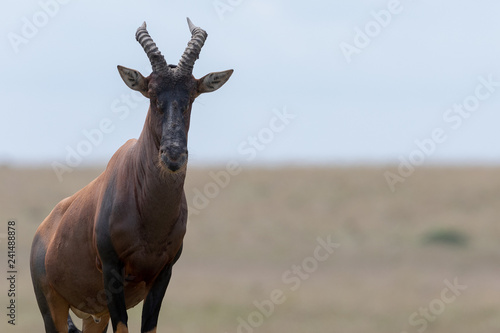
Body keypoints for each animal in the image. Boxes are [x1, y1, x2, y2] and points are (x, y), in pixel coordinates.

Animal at [30, 18, 233, 332]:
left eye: (191, 94)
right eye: (152, 94)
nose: (173, 155)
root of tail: (43, 231)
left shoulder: (164, 273)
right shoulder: (112, 273)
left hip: (94, 315)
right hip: (53, 308)